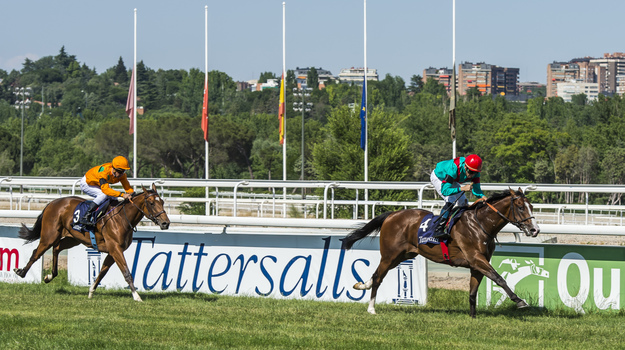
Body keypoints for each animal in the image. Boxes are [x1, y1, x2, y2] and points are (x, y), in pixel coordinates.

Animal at [14, 183, 171, 300]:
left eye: (162, 202)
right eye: (151, 203)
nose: (165, 223)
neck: (121, 218)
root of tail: (52, 202)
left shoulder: (112, 251)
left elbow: (102, 272)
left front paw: (90, 292)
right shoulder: (115, 248)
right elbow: (126, 272)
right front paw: (137, 296)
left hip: (73, 238)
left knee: (57, 248)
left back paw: (49, 276)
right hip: (49, 235)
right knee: (37, 252)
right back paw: (21, 272)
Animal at [344, 189, 540, 318]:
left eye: (531, 206)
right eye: (521, 207)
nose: (535, 230)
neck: (480, 224)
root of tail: (392, 215)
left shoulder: (477, 264)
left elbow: (472, 292)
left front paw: (473, 318)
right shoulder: (476, 259)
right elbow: (499, 278)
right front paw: (520, 301)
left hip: (403, 256)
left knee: (376, 275)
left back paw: (362, 285)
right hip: (390, 255)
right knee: (378, 277)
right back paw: (371, 309)